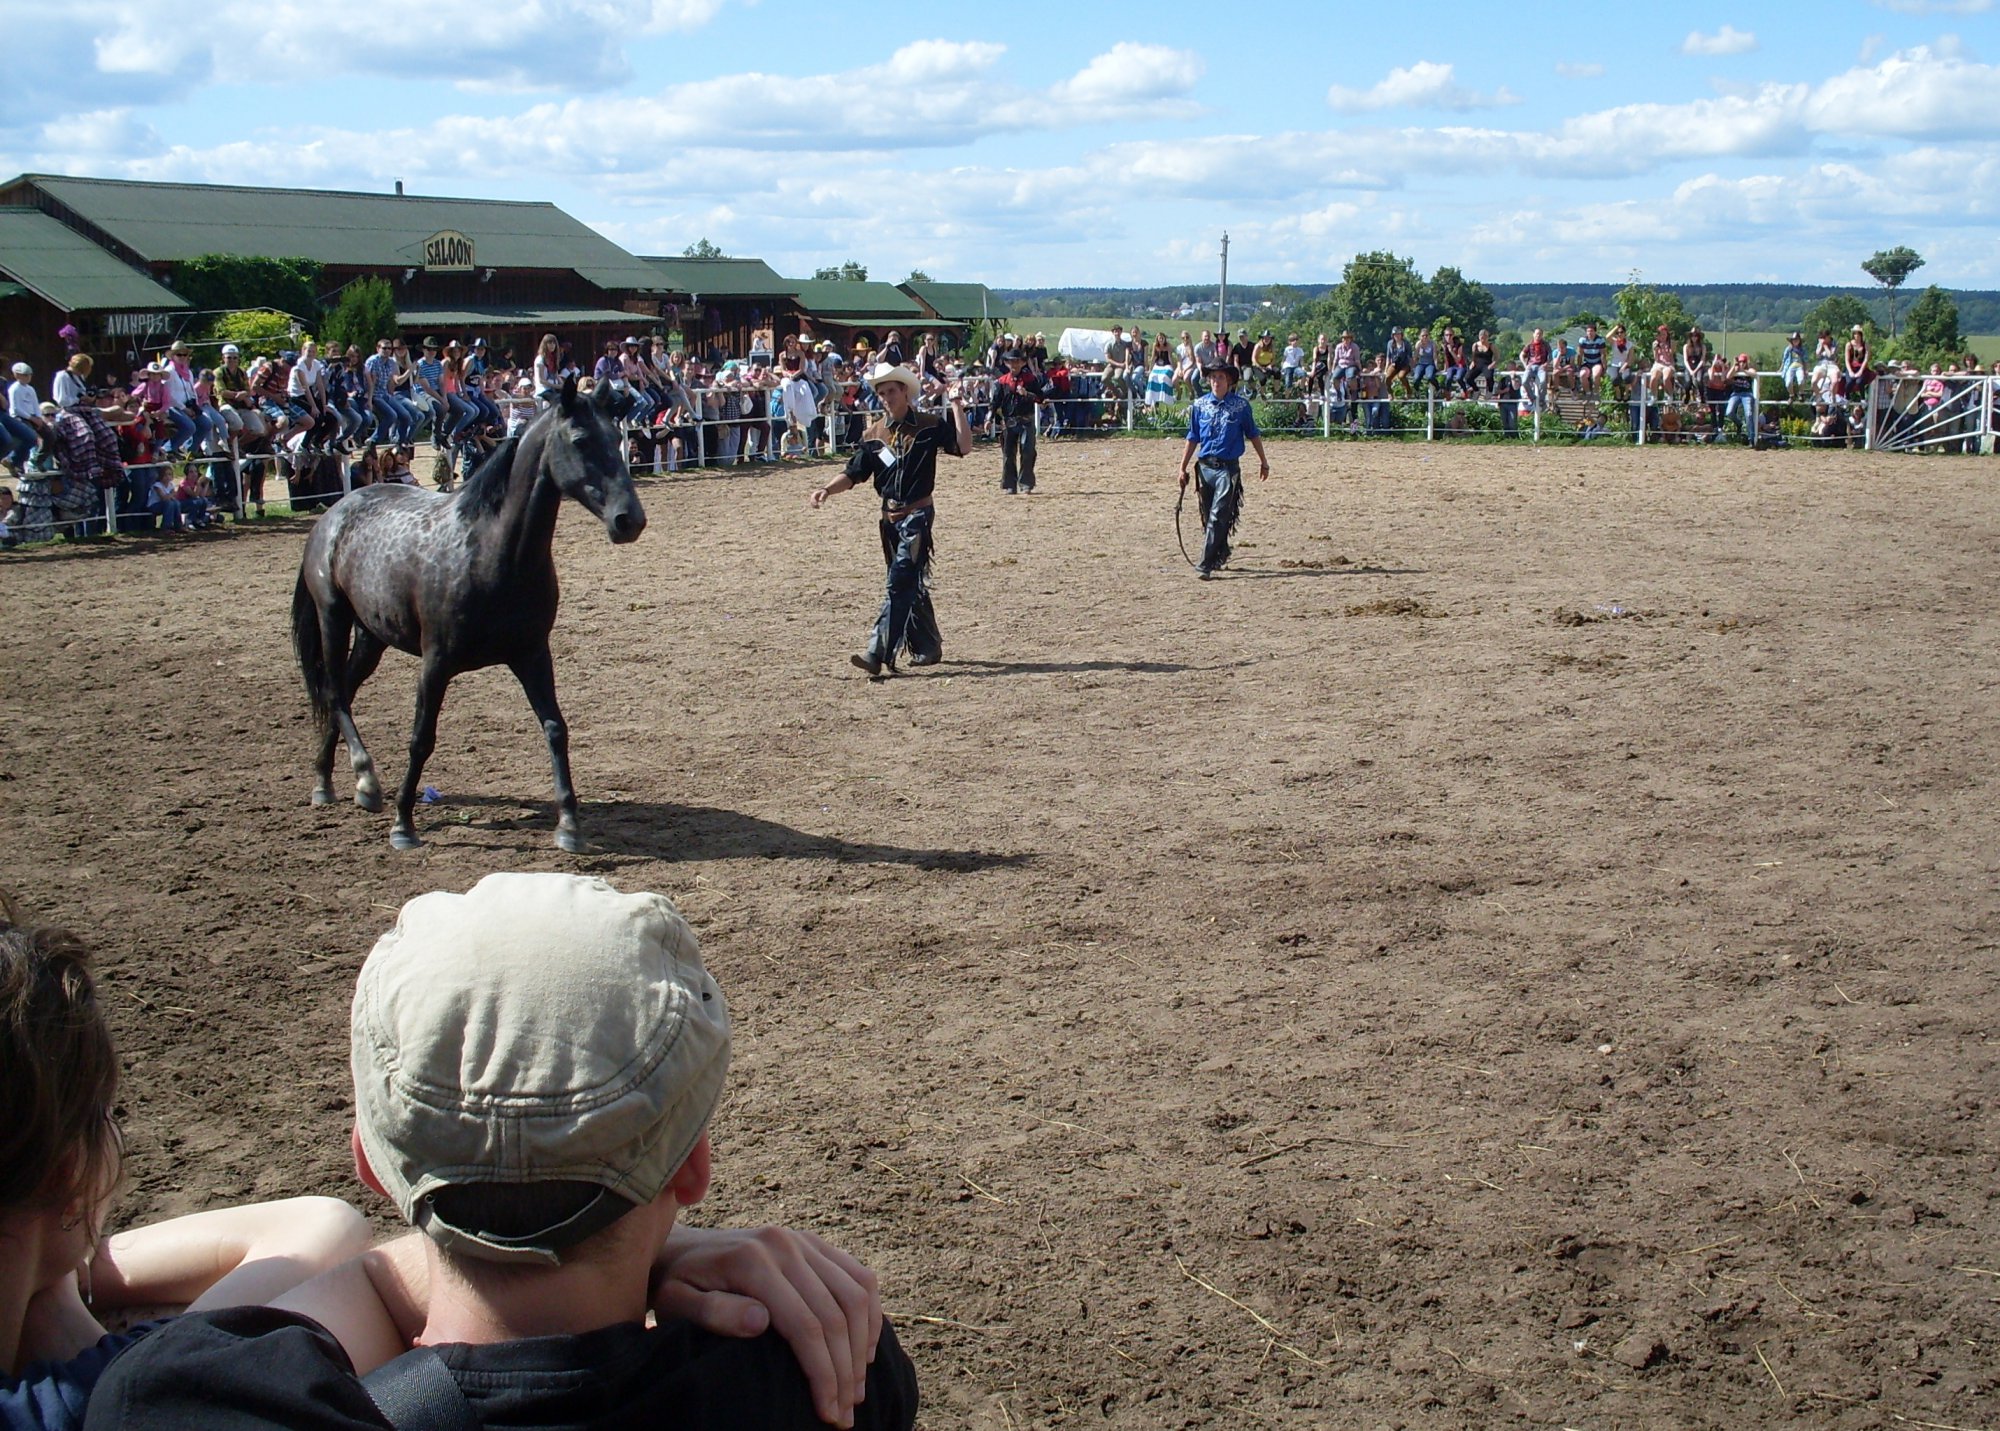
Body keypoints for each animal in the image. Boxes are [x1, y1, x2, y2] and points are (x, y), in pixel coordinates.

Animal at [290, 377, 644, 851]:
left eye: (615, 437)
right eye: (580, 440)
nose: (629, 520)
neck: (490, 552)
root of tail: (332, 516)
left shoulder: (533, 655)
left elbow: (555, 728)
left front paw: (569, 825)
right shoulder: (436, 663)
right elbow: (421, 739)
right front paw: (403, 824)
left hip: (372, 636)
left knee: (339, 689)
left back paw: (325, 783)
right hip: (333, 617)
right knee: (335, 692)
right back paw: (366, 780)